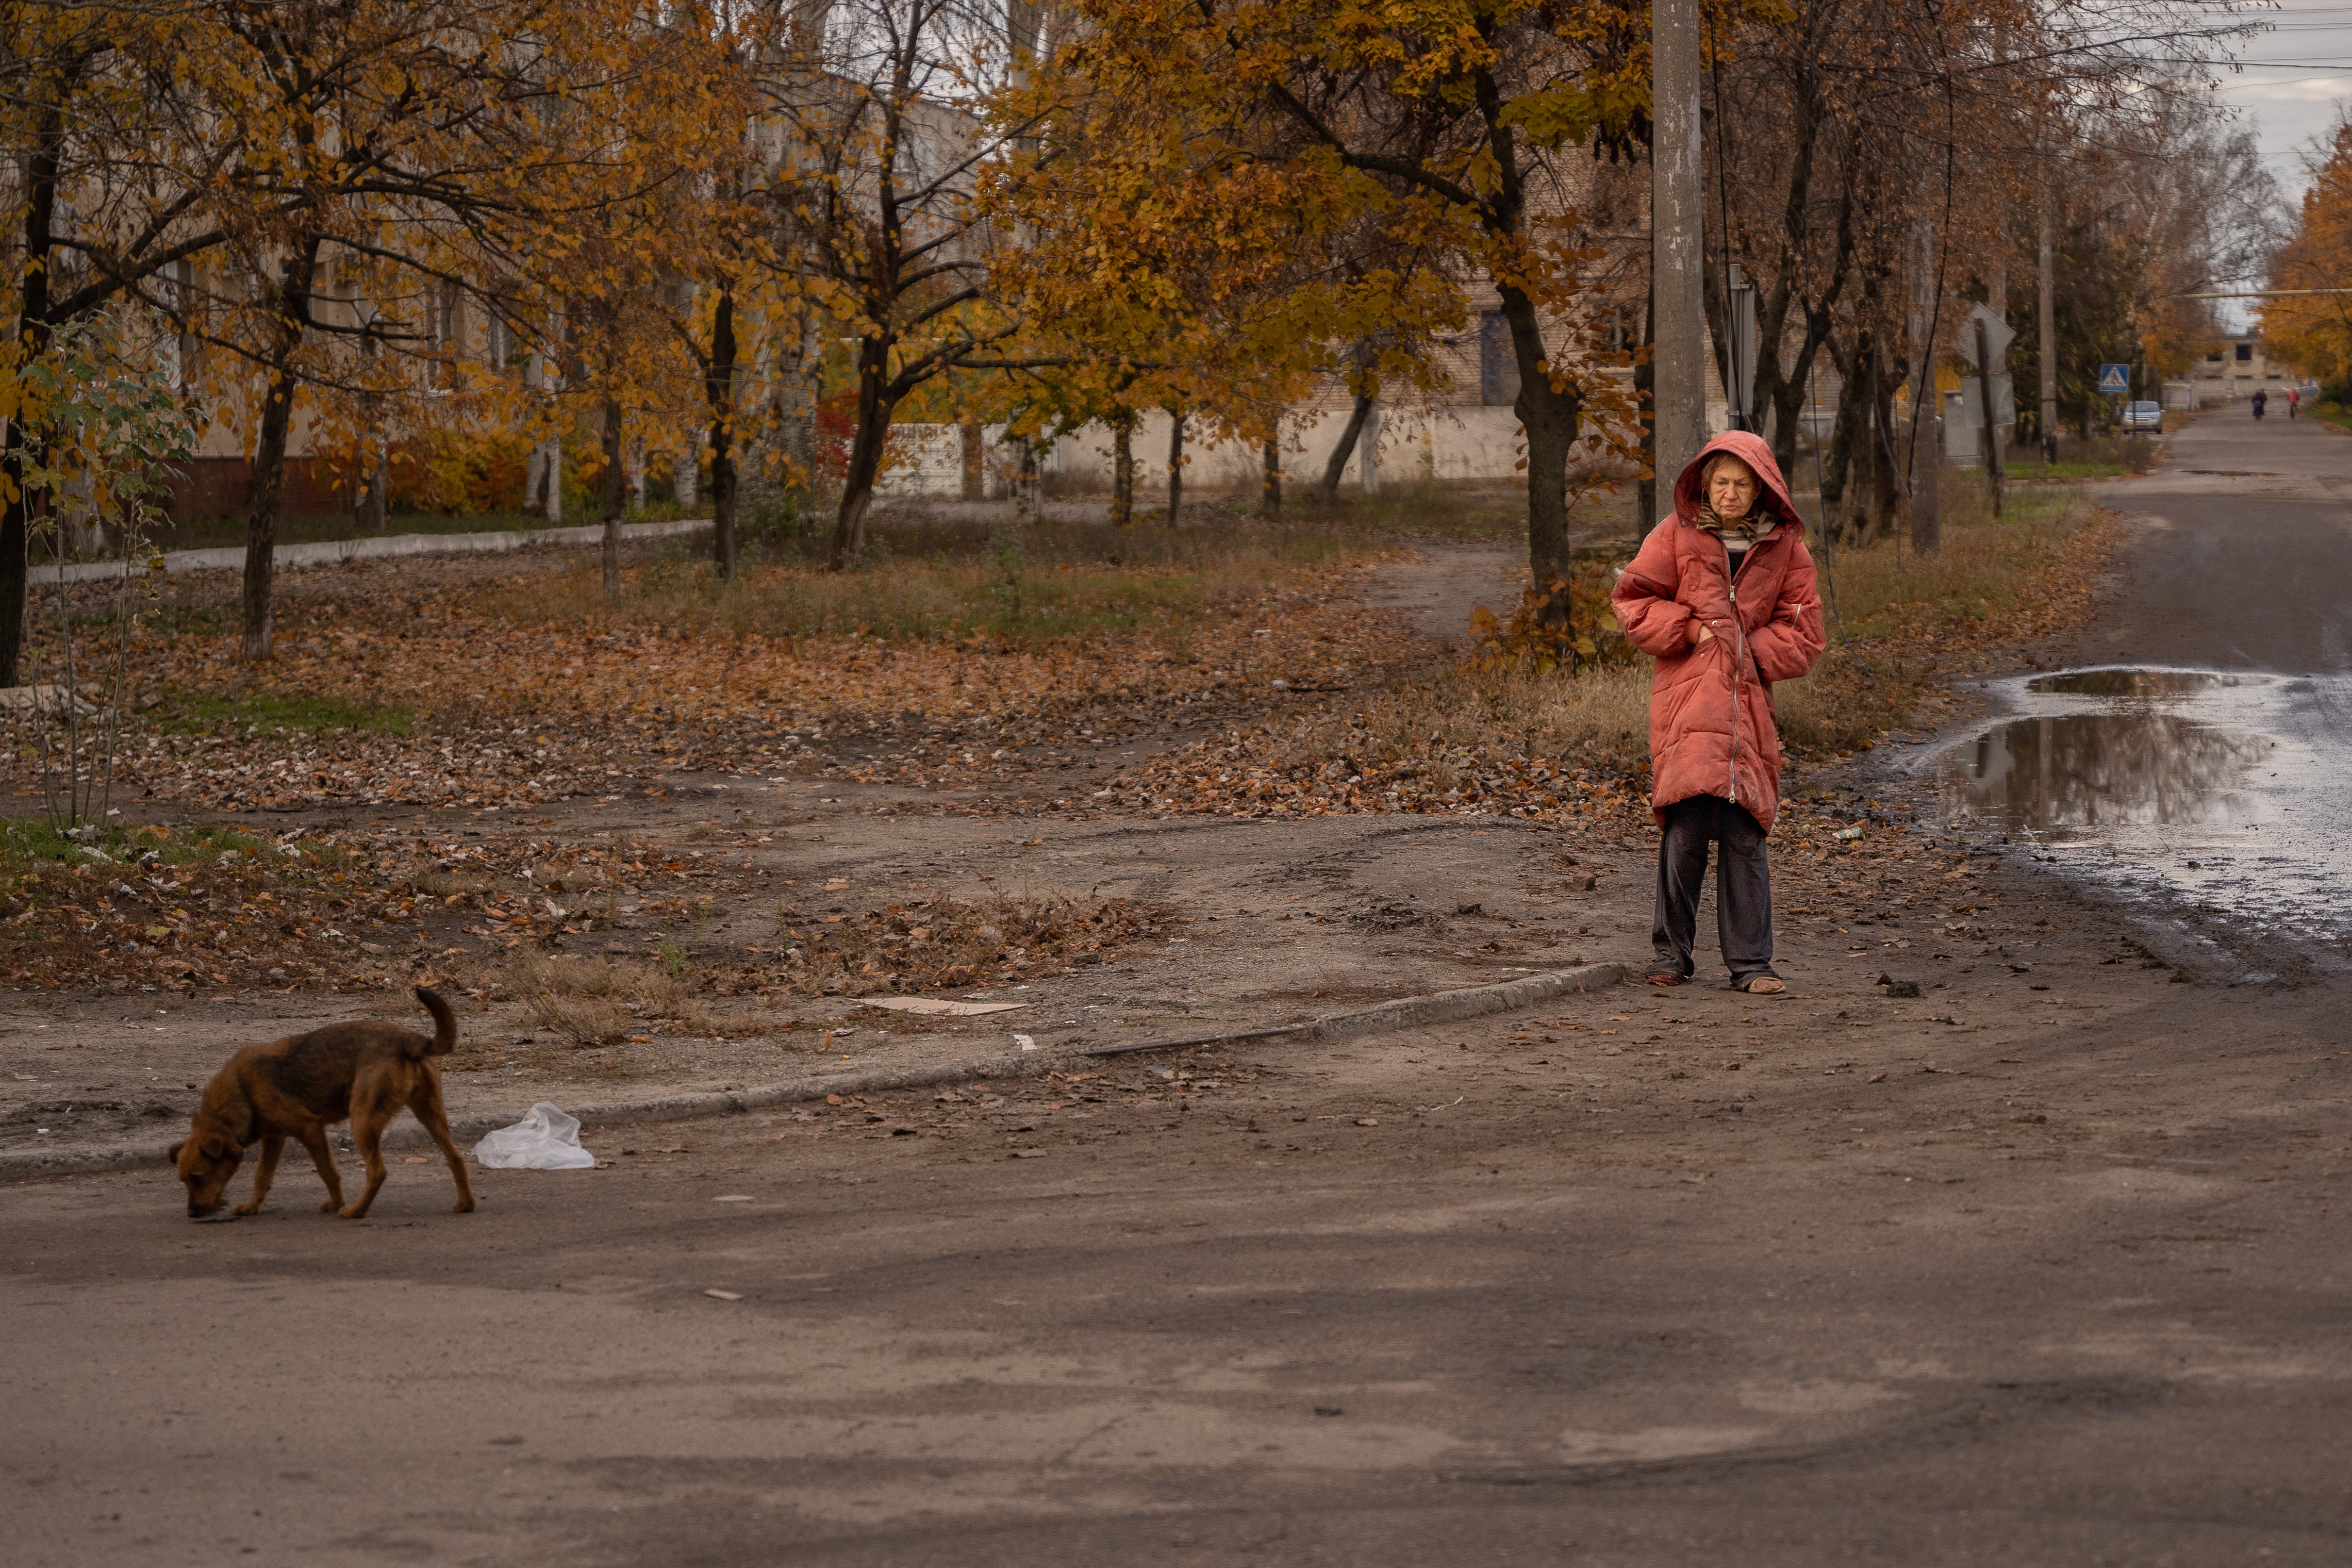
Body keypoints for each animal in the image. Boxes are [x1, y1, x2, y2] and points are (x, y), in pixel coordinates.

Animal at [168, 987, 475, 1222]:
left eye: (199, 1177)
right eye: (183, 1181)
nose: (192, 1214)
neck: (241, 1092)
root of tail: (410, 1040)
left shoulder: (310, 1129)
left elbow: (328, 1173)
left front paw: (337, 1204)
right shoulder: (274, 1139)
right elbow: (261, 1177)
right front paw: (252, 1207)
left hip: (362, 1122)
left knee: (377, 1172)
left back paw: (356, 1211)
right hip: (431, 1116)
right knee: (456, 1158)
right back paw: (465, 1204)